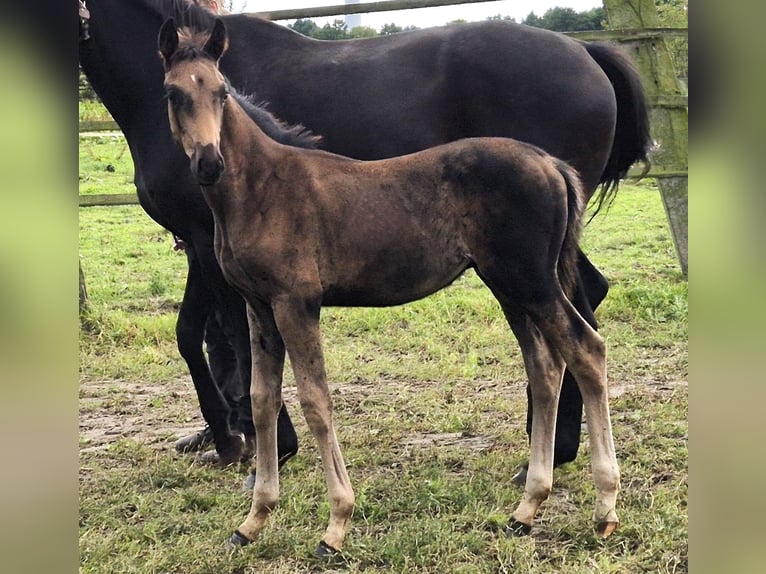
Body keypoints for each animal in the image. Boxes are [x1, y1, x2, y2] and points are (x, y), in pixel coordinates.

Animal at [79, 0, 656, 476]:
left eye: (221, 94)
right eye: (171, 93)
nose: (208, 163)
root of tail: (584, 49)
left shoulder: (208, 244)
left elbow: (227, 340)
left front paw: (259, 443)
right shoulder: (205, 245)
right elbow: (195, 335)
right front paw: (225, 436)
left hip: (526, 262)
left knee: (577, 320)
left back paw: (554, 451)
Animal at [162, 20, 624, 556]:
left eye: (221, 91)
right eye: (173, 93)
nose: (209, 163)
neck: (262, 189)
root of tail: (549, 162)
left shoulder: (297, 303)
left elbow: (316, 400)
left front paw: (336, 526)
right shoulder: (258, 306)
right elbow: (262, 401)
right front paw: (253, 521)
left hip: (532, 281)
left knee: (586, 348)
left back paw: (605, 508)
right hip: (509, 287)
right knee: (546, 368)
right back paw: (526, 508)